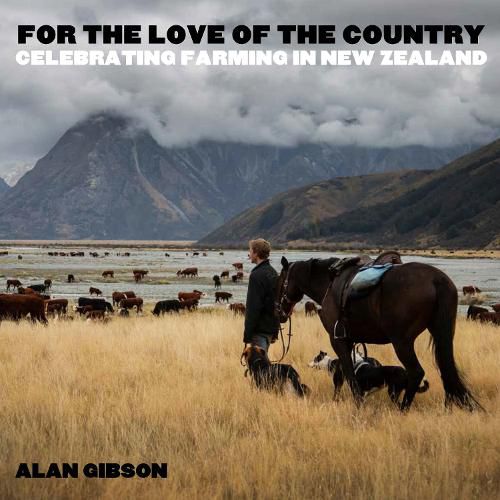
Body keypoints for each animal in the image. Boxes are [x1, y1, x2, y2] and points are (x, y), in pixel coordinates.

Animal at [276, 256, 482, 412]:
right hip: (440, 334)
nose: (279, 311)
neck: (329, 283)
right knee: (446, 370)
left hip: (402, 342)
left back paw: (402, 409)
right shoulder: (352, 341)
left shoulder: (339, 341)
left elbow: (349, 375)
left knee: (416, 372)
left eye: (280, 281)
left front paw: (358, 403)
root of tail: (437, 280)